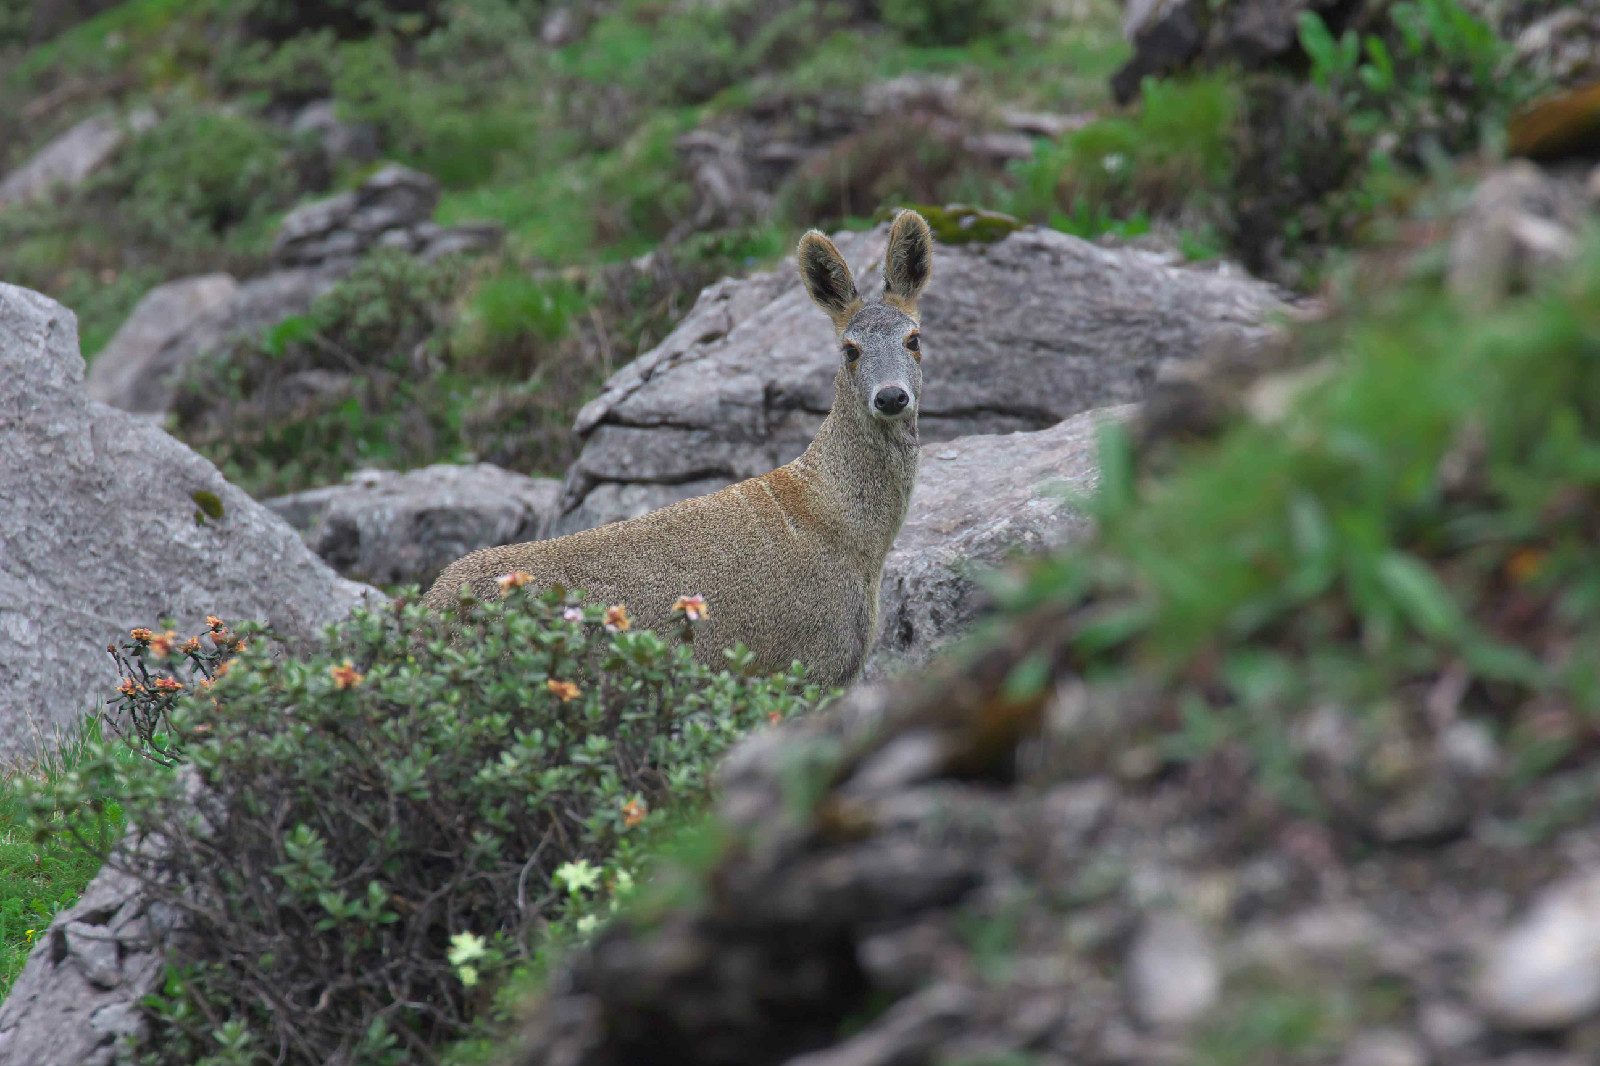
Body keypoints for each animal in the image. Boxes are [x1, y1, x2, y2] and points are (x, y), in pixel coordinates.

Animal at [425, 211, 934, 685]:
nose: (891, 396)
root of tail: (427, 614)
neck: (846, 527)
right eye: (850, 350)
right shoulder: (812, 662)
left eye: (914, 339)